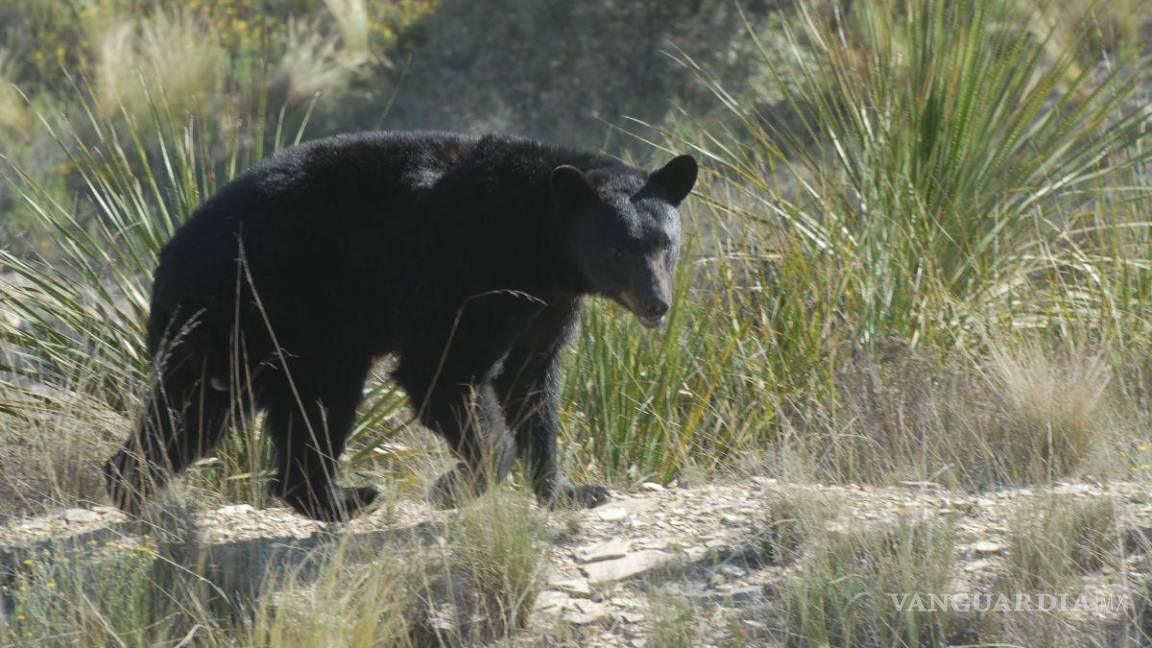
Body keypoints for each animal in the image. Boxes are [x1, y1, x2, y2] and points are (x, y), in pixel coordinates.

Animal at [103, 131, 695, 518]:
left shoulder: (550, 304)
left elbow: (532, 384)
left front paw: (568, 491)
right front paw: (458, 484)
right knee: (230, 405)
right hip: (254, 313)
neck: (540, 237)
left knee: (237, 411)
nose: (657, 304)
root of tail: (165, 259)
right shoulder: (471, 274)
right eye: (617, 251)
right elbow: (444, 369)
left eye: (665, 244)